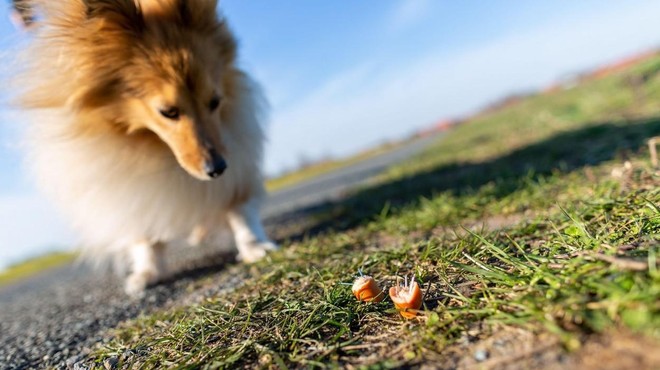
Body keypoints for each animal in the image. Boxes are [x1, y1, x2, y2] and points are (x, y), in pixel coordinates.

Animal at [13, 0, 276, 294]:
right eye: (168, 112)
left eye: (215, 101)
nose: (217, 168)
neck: (154, 145)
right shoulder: (125, 182)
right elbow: (143, 230)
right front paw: (148, 272)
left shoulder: (236, 142)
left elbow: (238, 204)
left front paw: (254, 245)